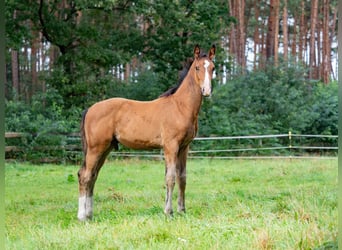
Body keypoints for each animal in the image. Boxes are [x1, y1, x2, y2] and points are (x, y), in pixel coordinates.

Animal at [79, 45, 215, 221]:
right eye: (197, 67)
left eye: (213, 68)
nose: (207, 91)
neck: (180, 106)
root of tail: (90, 109)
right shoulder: (170, 146)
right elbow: (170, 178)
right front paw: (168, 212)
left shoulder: (184, 147)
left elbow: (182, 178)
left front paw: (182, 210)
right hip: (95, 148)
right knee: (85, 176)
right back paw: (82, 216)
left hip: (105, 149)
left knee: (93, 176)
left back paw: (89, 215)